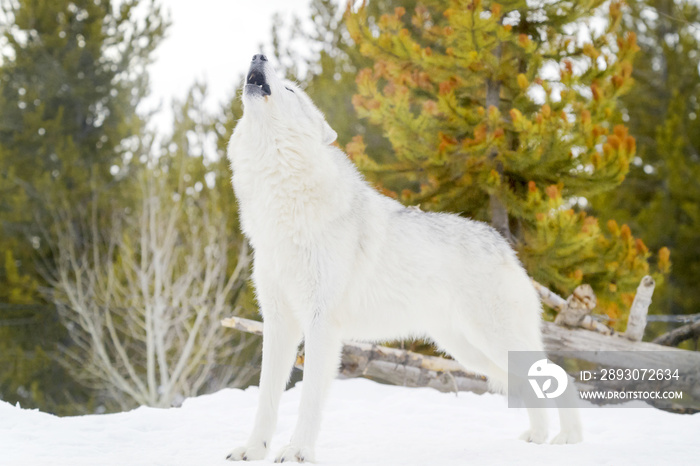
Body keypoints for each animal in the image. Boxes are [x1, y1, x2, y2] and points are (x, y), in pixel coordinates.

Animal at [227, 54, 584, 462]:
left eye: (290, 89)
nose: (258, 56)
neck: (282, 211)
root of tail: (505, 246)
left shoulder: (321, 324)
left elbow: (310, 400)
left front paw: (298, 452)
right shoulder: (278, 323)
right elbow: (266, 400)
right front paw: (253, 451)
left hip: (496, 343)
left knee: (562, 378)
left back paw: (568, 439)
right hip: (471, 352)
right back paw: (537, 440)